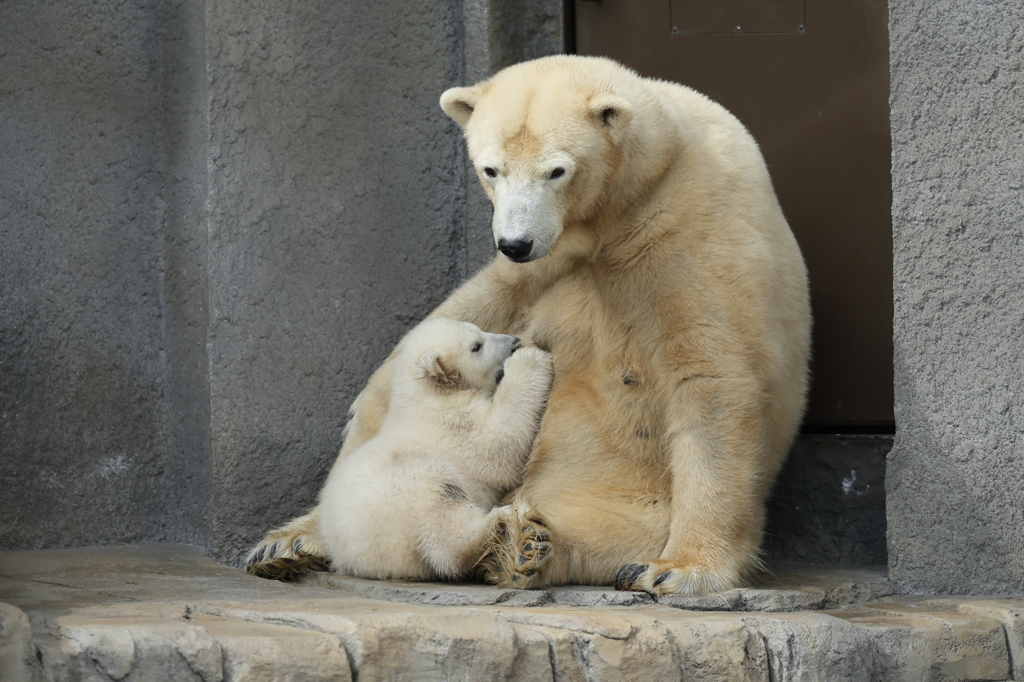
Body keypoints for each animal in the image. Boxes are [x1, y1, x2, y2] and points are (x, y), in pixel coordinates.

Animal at [251, 55, 811, 593]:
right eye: (490, 169)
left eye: (556, 171)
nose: (515, 242)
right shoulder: (548, 260)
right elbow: (468, 312)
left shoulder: (689, 235)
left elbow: (710, 378)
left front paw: (678, 569)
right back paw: (290, 542)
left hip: (634, 497)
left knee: (594, 529)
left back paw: (526, 544)